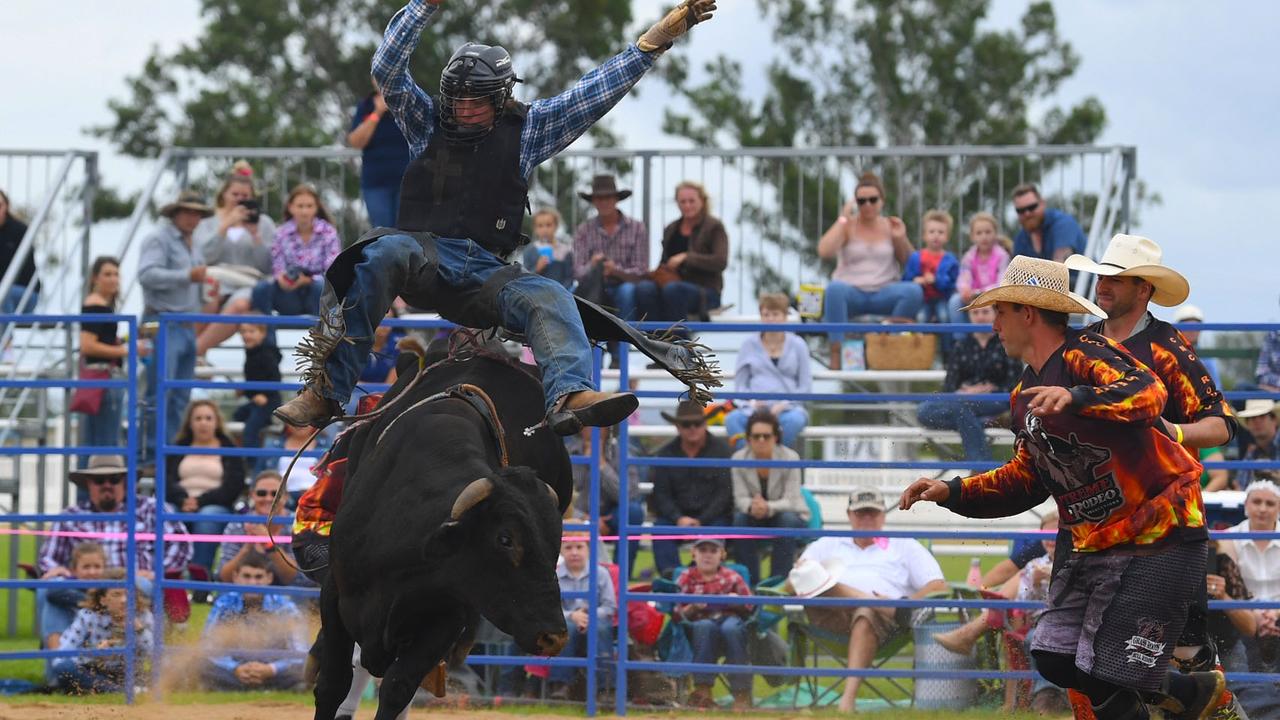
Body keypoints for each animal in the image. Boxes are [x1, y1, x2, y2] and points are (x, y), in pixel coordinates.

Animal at [312, 345, 573, 712]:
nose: (554, 637)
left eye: (555, 544)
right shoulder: (335, 592)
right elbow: (332, 684)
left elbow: (398, 688)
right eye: (505, 539)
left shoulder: (447, 618)